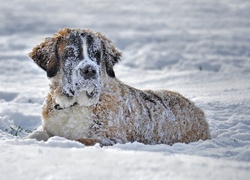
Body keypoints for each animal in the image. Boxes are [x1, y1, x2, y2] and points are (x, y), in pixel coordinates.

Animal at [27, 28, 211, 146]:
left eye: (97, 54)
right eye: (70, 53)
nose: (90, 70)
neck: (74, 105)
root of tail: (197, 109)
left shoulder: (112, 137)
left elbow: (80, 140)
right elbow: (35, 134)